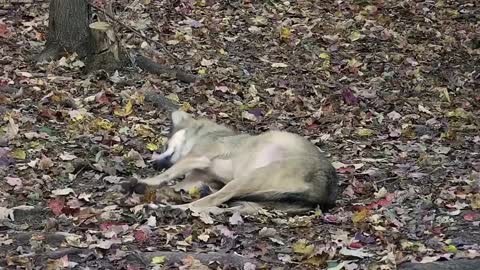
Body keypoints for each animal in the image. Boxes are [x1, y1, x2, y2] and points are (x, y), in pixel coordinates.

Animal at [133, 110, 340, 214]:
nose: (154, 164)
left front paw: (144, 181)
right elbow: (176, 184)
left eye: (165, 144)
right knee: (217, 206)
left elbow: (169, 173)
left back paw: (163, 207)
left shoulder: (197, 157)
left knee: (203, 203)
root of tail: (327, 191)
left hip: (246, 179)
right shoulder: (196, 178)